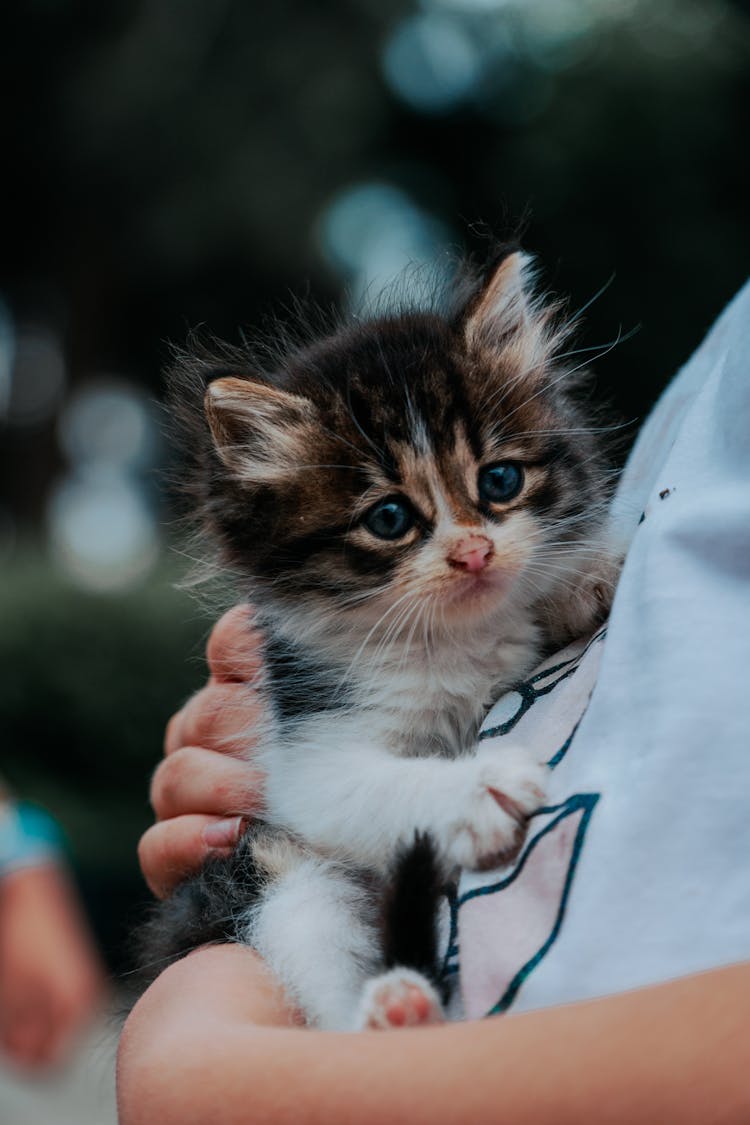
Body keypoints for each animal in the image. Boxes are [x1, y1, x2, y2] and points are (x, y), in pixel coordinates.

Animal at [137, 246, 620, 1030]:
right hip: (275, 874)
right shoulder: (305, 760)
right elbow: (372, 785)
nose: (474, 553)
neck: (455, 639)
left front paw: (585, 576)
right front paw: (478, 789)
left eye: (500, 480)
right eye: (390, 519)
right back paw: (399, 1011)